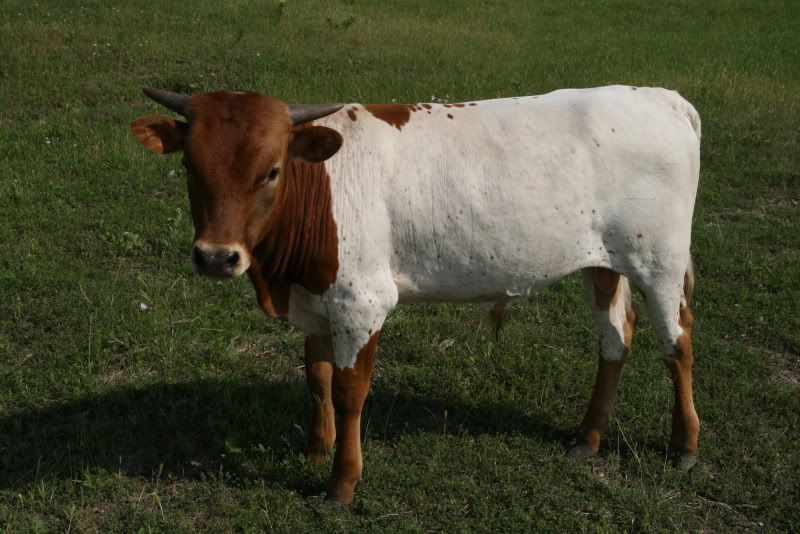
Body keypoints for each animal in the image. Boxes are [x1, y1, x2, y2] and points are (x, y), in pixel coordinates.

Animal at [131, 85, 702, 505]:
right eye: (190, 167)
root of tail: (663, 98)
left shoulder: (361, 300)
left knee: (677, 343)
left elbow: (349, 391)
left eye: (271, 171)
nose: (216, 257)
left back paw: (685, 444)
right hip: (602, 263)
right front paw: (317, 449)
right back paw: (588, 438)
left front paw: (341, 482)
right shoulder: (318, 301)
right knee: (615, 338)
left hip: (661, 259)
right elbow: (316, 377)